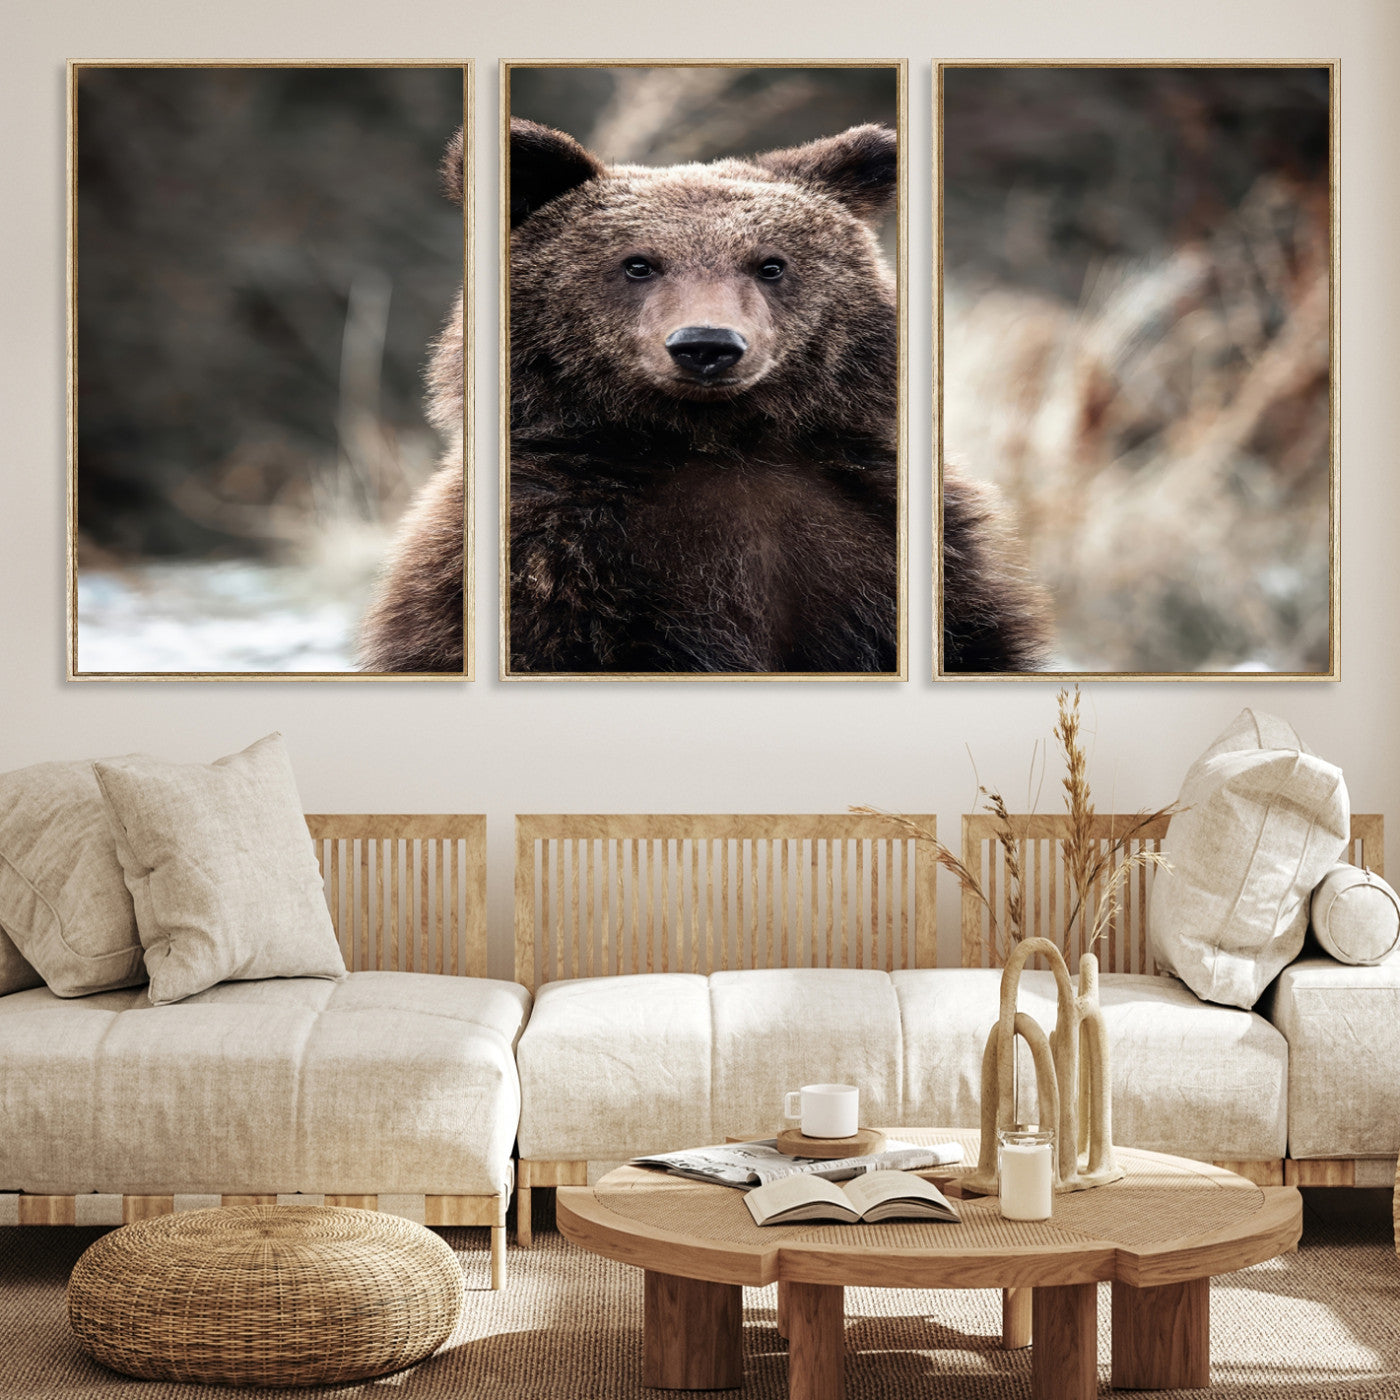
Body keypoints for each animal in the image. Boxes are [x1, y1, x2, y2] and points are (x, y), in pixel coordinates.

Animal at [360, 120, 1051, 674]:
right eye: (638, 263)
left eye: (770, 264)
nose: (707, 344)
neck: (716, 440)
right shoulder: (554, 556)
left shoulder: (885, 535)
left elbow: (974, 640)